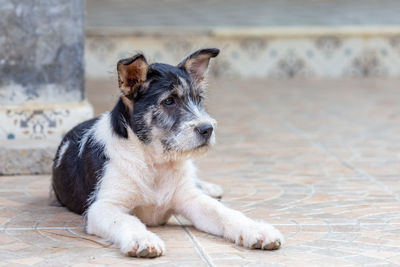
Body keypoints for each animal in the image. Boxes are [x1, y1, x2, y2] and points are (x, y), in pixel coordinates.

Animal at [51, 49, 282, 258]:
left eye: (199, 99)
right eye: (169, 101)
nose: (207, 129)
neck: (154, 161)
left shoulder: (191, 200)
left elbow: (224, 213)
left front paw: (257, 230)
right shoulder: (104, 206)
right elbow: (126, 220)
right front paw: (143, 239)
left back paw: (210, 188)